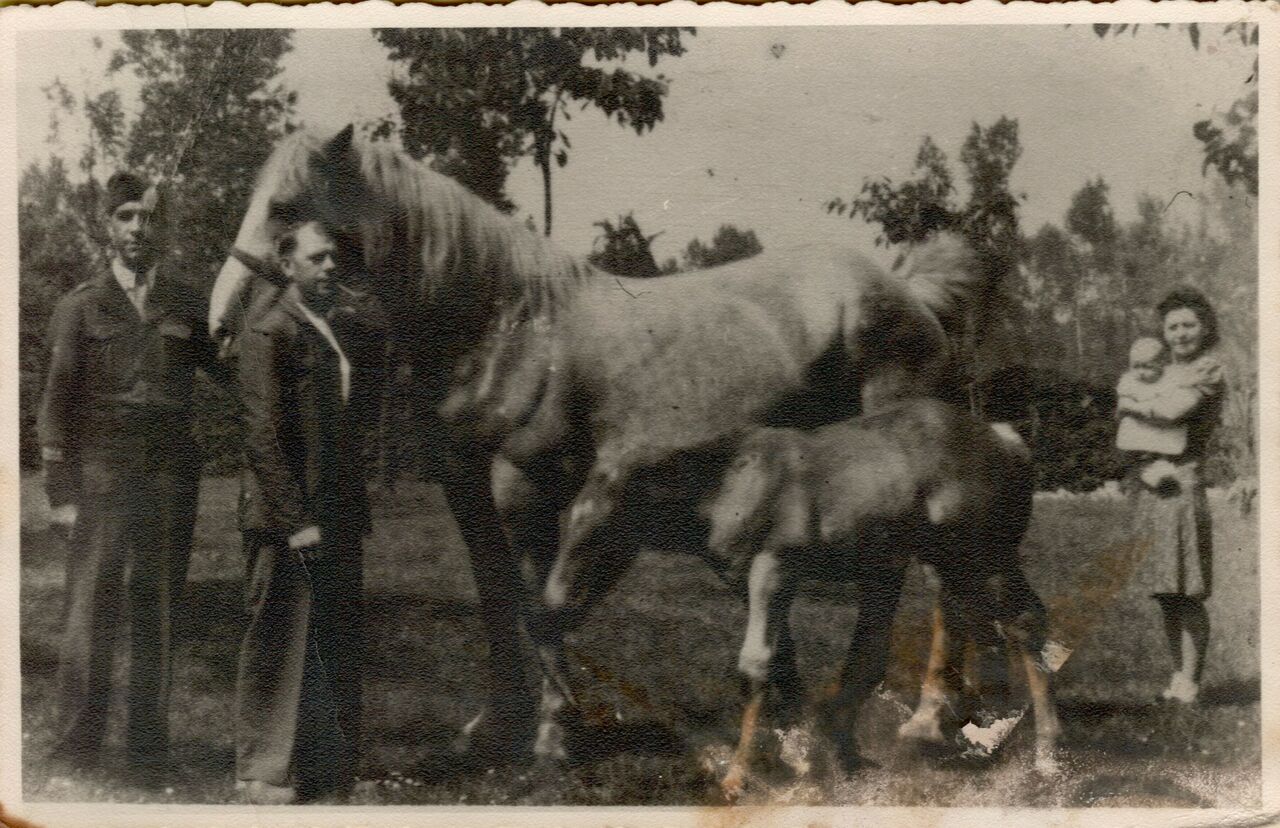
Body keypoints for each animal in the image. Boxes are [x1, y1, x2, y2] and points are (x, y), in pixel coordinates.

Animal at [209, 124, 993, 762]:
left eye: (285, 207)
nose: (221, 323)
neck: (507, 325)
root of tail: (910, 294)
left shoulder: (530, 488)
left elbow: (545, 604)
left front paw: (556, 732)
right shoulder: (470, 491)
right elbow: (502, 597)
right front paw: (499, 726)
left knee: (920, 581)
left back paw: (918, 719)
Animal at [711, 401, 1059, 798]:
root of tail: (1005, 440)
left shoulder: (773, 566)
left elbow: (762, 661)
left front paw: (745, 774)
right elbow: (791, 657)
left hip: (982, 560)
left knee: (1021, 620)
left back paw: (1046, 758)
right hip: (953, 562)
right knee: (969, 617)